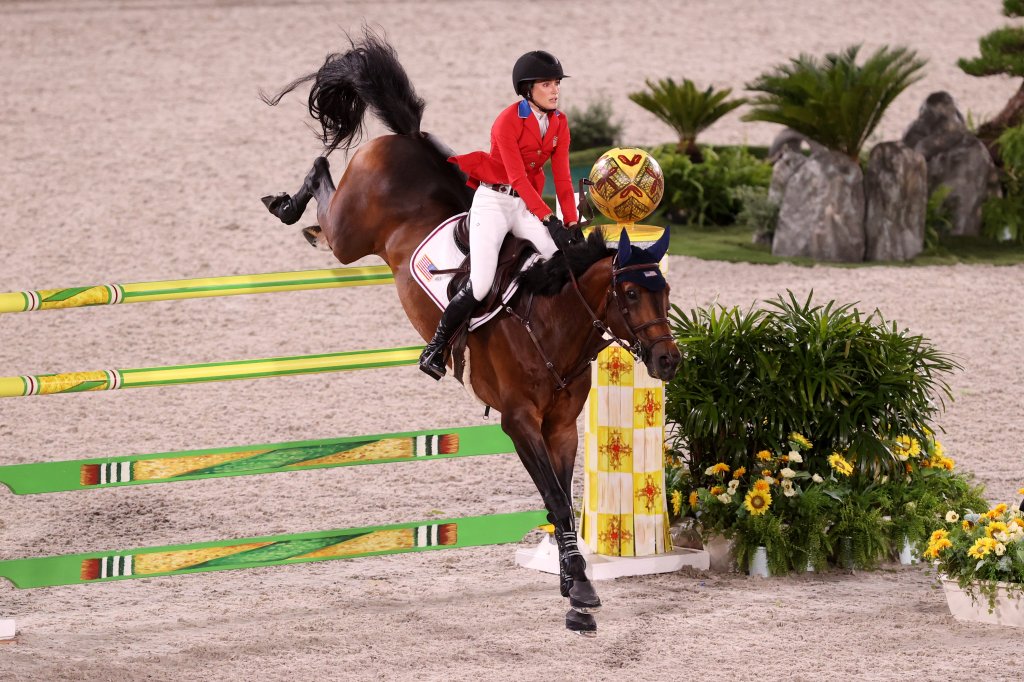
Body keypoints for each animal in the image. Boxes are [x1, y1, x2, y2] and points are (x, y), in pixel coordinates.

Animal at [262, 30, 679, 638]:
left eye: (663, 292)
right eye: (628, 295)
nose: (669, 362)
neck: (552, 325)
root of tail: (408, 139)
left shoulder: (560, 428)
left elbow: (560, 499)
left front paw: (572, 584)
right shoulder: (519, 421)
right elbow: (556, 501)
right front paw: (579, 590)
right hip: (349, 235)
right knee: (322, 177)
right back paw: (289, 207)